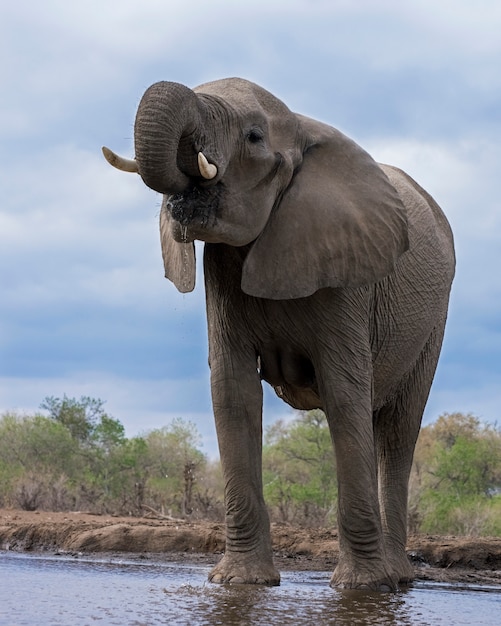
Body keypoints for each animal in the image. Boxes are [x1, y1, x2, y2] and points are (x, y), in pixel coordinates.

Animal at [103, 75, 456, 588]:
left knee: (397, 430)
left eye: (253, 136)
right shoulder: (221, 273)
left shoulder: (347, 275)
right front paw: (241, 583)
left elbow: (344, 393)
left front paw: (359, 587)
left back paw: (396, 578)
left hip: (435, 320)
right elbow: (233, 392)